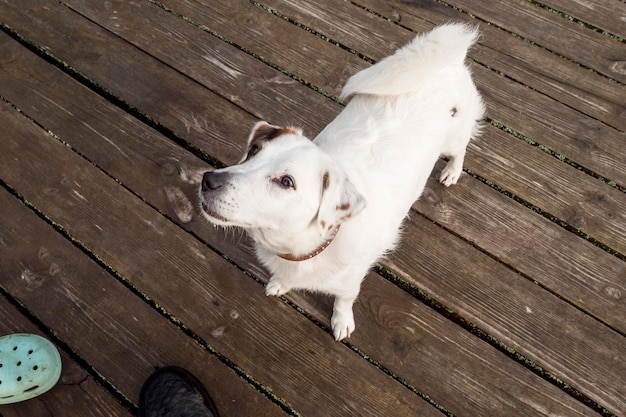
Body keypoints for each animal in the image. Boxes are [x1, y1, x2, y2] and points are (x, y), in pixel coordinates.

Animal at [200, 24, 482, 340]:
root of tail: (448, 60)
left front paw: (342, 321)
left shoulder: (350, 283)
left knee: (460, 151)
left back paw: (452, 172)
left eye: (287, 181)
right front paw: (280, 284)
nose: (208, 180)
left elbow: (343, 301)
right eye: (254, 151)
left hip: (455, 138)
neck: (298, 252)